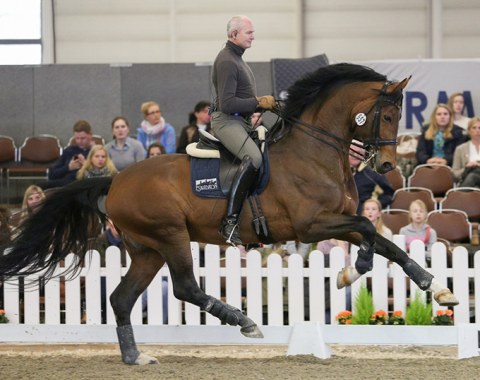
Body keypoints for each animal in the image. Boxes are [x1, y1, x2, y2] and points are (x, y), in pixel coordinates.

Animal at [0, 63, 458, 366]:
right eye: (388, 113)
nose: (387, 166)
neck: (315, 149)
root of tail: (114, 182)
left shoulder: (333, 220)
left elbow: (382, 242)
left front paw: (434, 288)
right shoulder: (311, 225)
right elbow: (368, 230)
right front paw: (355, 271)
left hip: (147, 250)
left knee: (121, 298)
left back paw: (135, 357)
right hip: (170, 236)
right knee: (185, 287)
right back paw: (244, 321)